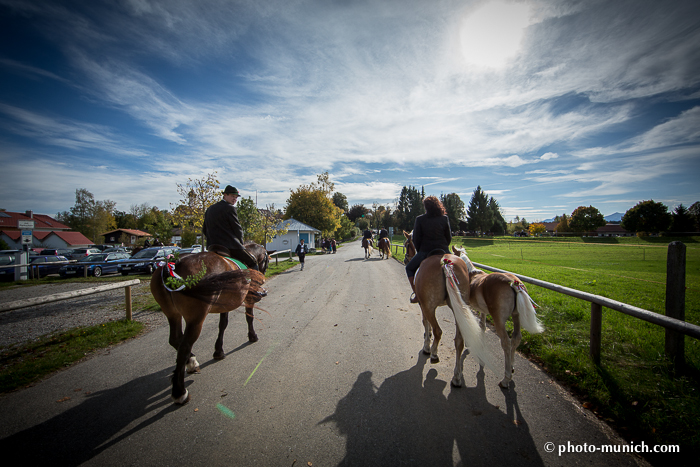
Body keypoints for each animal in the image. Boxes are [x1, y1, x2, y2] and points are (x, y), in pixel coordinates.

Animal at [149, 249, 266, 406]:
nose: (262, 283)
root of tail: (174, 264)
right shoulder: (249, 298)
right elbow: (249, 317)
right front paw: (252, 336)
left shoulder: (225, 304)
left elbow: (223, 324)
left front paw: (218, 351)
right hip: (196, 317)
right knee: (184, 346)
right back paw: (180, 392)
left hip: (172, 313)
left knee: (175, 339)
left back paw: (191, 362)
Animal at [452, 245, 544, 388]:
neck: (471, 274)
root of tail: (513, 282)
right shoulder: (482, 311)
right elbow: (482, 326)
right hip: (516, 316)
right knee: (516, 338)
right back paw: (511, 367)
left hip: (499, 320)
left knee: (506, 342)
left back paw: (506, 379)